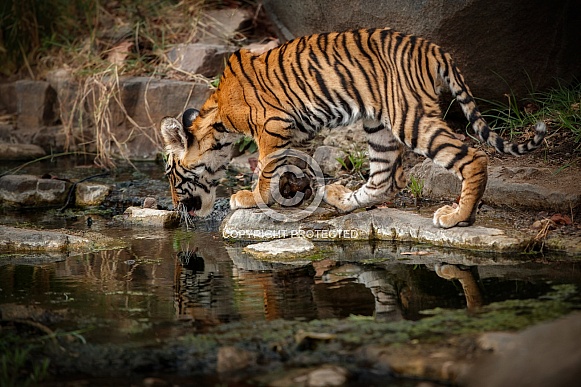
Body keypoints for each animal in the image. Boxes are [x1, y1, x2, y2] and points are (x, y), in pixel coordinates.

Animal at [161, 28, 548, 229]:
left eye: (171, 175)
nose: (176, 209)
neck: (219, 123)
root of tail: (434, 49)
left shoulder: (272, 126)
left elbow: (267, 169)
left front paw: (251, 197)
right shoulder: (296, 131)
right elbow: (293, 165)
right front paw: (293, 192)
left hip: (410, 117)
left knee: (472, 157)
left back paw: (458, 217)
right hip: (378, 125)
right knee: (385, 180)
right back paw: (341, 200)